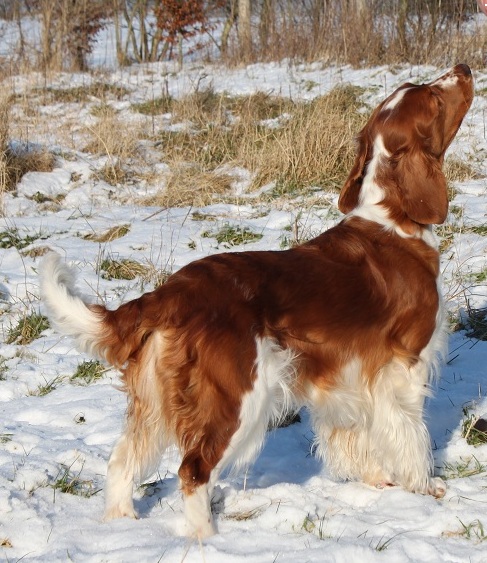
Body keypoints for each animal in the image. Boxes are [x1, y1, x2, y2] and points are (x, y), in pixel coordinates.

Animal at [40, 64, 473, 538]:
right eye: (434, 99)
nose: (464, 69)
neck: (394, 219)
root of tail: (169, 293)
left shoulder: (349, 374)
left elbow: (359, 435)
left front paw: (378, 481)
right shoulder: (404, 366)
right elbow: (410, 435)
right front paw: (424, 488)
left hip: (152, 402)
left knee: (122, 461)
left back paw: (121, 524)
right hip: (237, 398)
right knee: (193, 470)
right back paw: (208, 539)